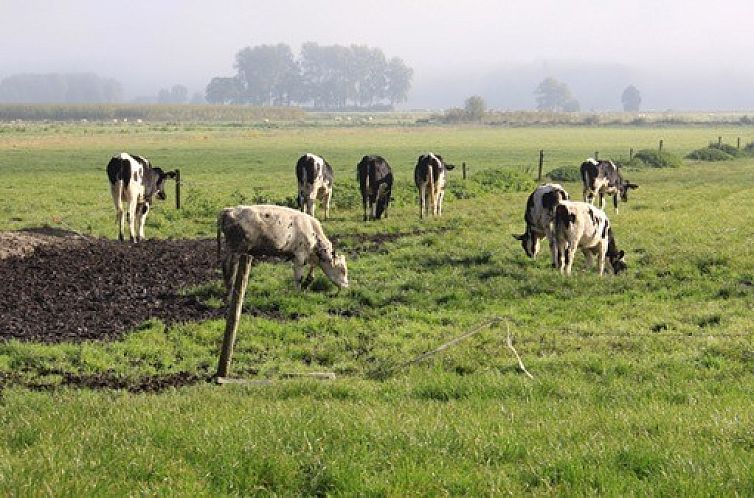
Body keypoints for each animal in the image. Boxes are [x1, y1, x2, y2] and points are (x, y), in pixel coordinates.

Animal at [216, 204, 348, 294]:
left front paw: (307, 284)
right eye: (343, 270)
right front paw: (298, 292)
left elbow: (311, 274)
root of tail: (229, 210)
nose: (346, 286)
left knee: (225, 265)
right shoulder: (299, 256)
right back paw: (230, 289)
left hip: (231, 248)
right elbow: (298, 277)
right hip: (236, 249)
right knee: (230, 267)